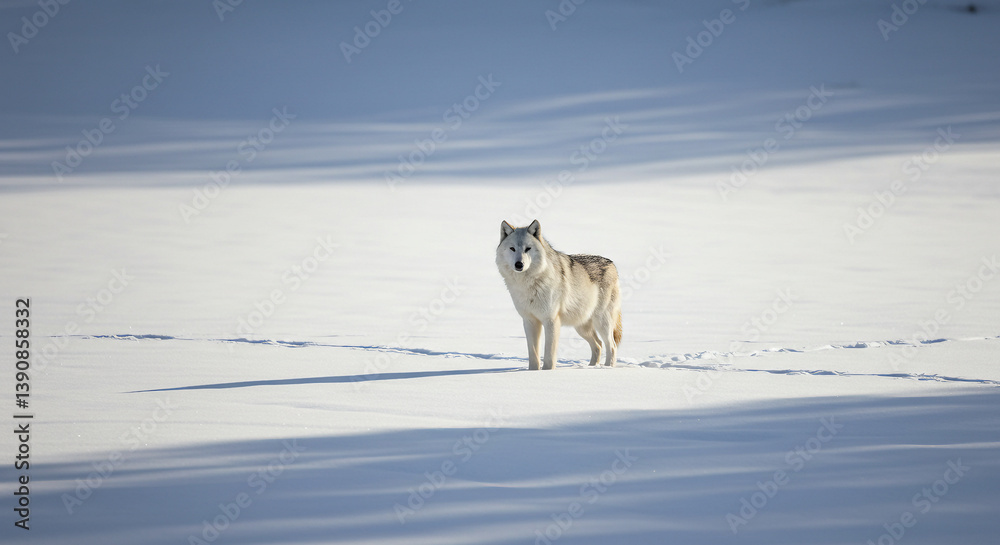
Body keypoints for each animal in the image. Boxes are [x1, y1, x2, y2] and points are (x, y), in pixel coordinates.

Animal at [496, 219, 622, 370]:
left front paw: (548, 371)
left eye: (528, 249)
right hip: (581, 326)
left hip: (602, 322)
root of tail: (612, 264)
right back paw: (591, 367)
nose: (519, 264)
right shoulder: (529, 321)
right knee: (598, 345)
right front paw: (532, 371)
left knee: (612, 346)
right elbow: (533, 354)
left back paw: (608, 368)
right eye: (512, 249)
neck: (529, 284)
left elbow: (549, 355)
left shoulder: (551, 320)